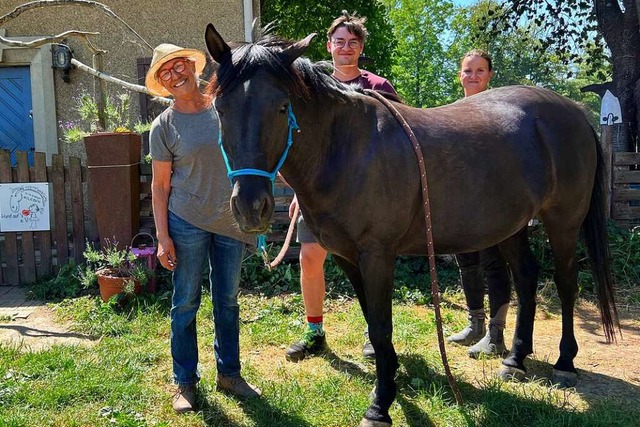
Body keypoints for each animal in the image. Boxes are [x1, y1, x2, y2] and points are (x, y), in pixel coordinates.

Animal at [205, 24, 620, 427]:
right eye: (220, 109)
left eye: (281, 107)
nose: (250, 207)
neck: (348, 149)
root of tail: (575, 113)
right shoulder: (346, 257)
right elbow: (372, 321)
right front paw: (387, 382)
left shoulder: (377, 256)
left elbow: (382, 327)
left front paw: (380, 405)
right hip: (513, 225)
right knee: (527, 276)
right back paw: (515, 360)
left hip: (563, 220)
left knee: (566, 283)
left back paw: (564, 363)